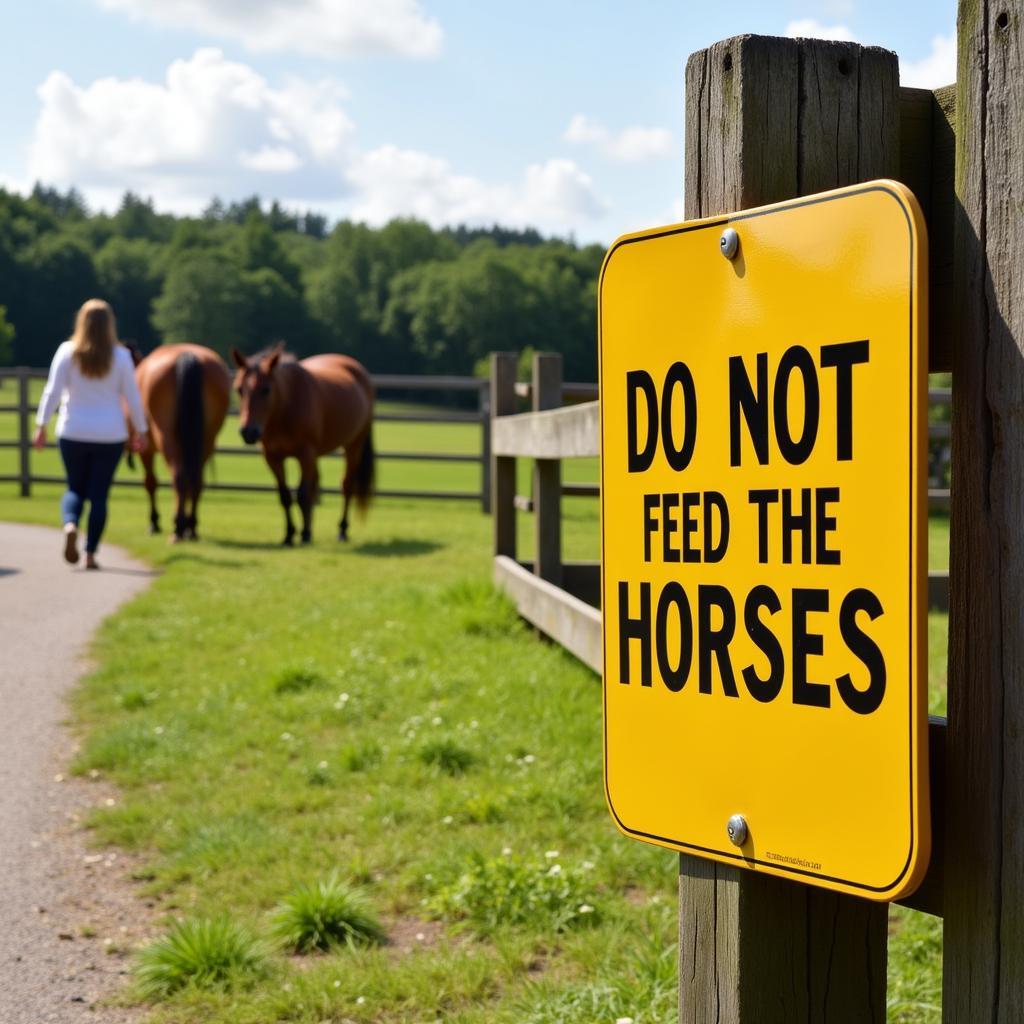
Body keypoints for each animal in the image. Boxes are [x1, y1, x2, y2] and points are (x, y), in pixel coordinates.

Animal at [133, 342, 231, 540]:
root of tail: (187, 355)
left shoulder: (146, 449)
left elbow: (150, 482)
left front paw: (154, 522)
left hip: (166, 437)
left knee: (179, 477)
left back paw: (178, 526)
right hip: (206, 439)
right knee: (196, 480)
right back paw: (191, 526)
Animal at [232, 342, 376, 544]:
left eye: (266, 389)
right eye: (239, 389)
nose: (248, 431)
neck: (284, 409)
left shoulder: (305, 453)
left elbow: (302, 494)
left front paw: (304, 534)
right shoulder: (273, 457)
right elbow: (285, 496)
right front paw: (289, 534)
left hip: (354, 444)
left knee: (347, 485)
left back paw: (342, 529)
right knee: (315, 485)